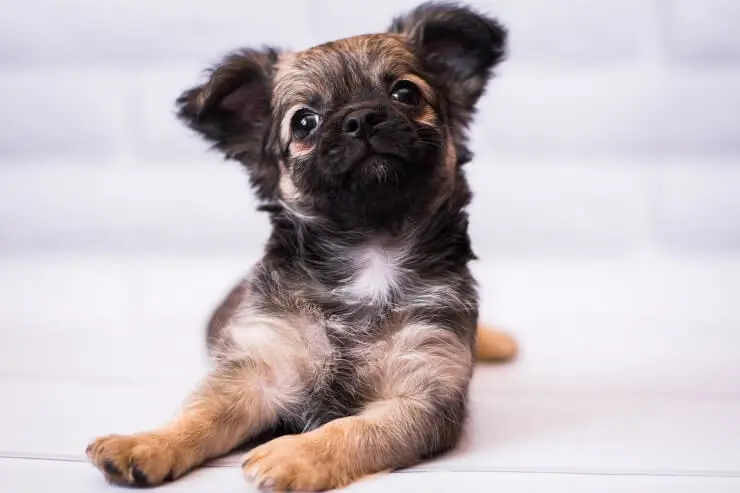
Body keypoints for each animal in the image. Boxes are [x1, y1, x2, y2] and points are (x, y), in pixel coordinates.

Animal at [85, 2, 516, 488]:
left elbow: (354, 430)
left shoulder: (423, 390)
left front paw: (295, 454)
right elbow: (199, 414)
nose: (362, 118)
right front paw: (146, 443)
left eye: (406, 94)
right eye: (305, 121)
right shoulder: (256, 372)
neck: (370, 250)